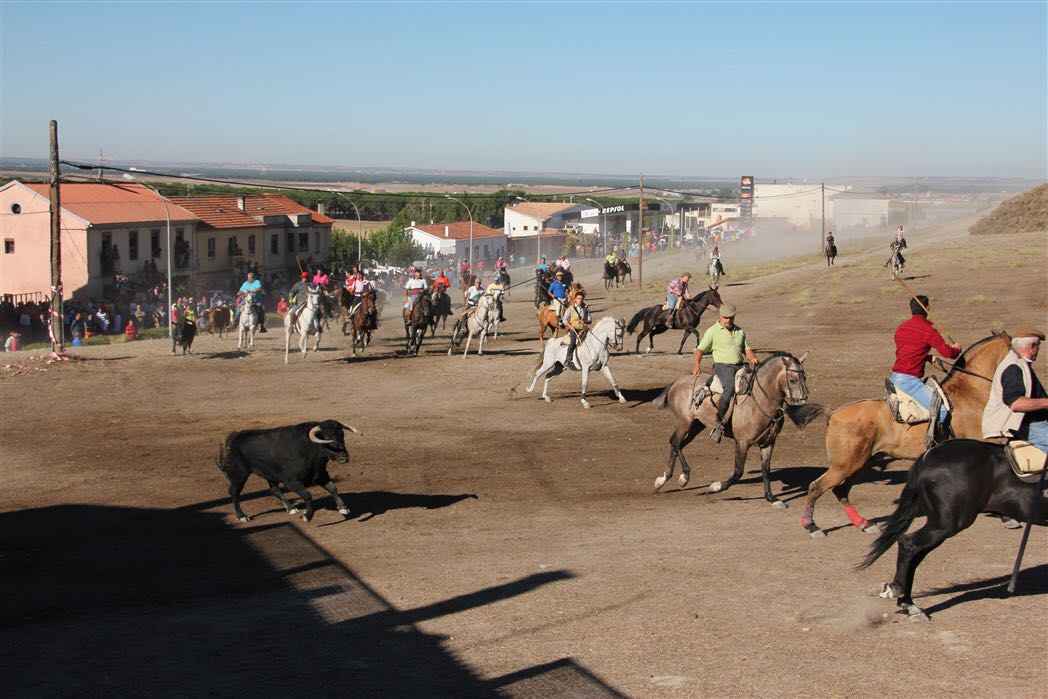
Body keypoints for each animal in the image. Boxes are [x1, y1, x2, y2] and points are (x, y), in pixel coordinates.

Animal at [214, 419, 362, 521]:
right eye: (327, 439)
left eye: (342, 436)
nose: (344, 457)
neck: (309, 448)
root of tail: (235, 435)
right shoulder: (291, 481)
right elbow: (307, 495)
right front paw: (307, 516)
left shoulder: (320, 474)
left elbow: (333, 488)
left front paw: (343, 508)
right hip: (239, 474)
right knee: (234, 492)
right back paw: (242, 516)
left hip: (270, 473)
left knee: (274, 490)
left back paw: (291, 508)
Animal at [645, 352, 825, 505]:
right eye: (793, 379)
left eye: (805, 377)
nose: (803, 399)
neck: (759, 401)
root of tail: (677, 382)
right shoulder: (742, 442)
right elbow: (738, 471)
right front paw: (715, 487)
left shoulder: (768, 442)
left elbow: (766, 469)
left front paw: (771, 498)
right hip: (685, 422)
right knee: (675, 442)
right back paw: (682, 477)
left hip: (696, 426)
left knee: (677, 444)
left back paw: (664, 480)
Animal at [796, 331, 1010, 540]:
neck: (969, 393)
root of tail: (833, 412)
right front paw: (1006, 516)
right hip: (844, 465)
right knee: (817, 487)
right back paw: (812, 527)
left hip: (859, 464)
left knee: (840, 490)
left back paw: (864, 524)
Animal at [859, 440, 1048, 620]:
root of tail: (929, 455)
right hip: (947, 524)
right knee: (909, 543)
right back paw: (901, 595)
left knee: (916, 553)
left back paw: (908, 604)